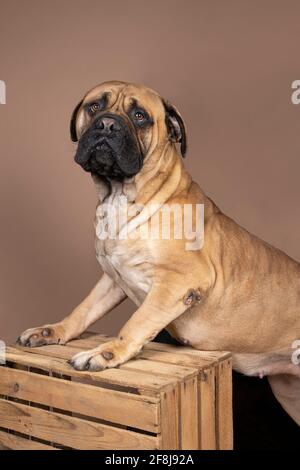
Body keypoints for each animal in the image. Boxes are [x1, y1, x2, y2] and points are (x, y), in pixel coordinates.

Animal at [17, 81, 300, 426]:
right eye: (95, 107)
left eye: (140, 116)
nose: (107, 125)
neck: (122, 197)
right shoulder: (112, 278)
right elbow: (84, 310)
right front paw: (53, 331)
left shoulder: (182, 281)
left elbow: (136, 323)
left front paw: (107, 352)